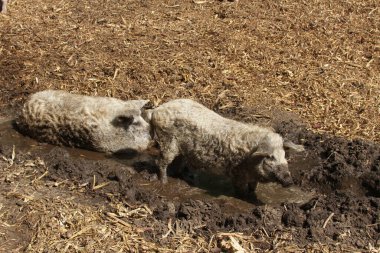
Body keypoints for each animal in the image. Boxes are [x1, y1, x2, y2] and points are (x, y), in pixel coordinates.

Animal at [150, 99, 304, 196]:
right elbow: (240, 190)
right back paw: (164, 182)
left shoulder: (252, 177)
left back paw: (187, 177)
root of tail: (157, 110)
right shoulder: (237, 173)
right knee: (160, 162)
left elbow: (253, 188)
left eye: (284, 156)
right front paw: (243, 197)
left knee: (178, 162)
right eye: (270, 157)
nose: (289, 181)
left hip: (181, 148)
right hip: (167, 141)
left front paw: (253, 194)